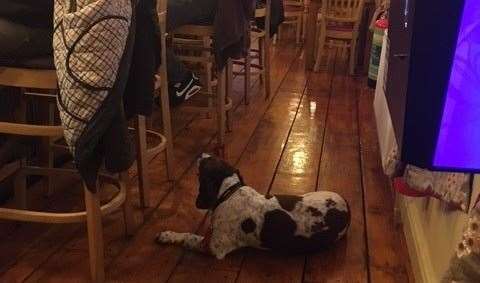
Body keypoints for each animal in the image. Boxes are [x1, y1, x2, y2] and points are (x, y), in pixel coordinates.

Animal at [156, 154, 350, 260]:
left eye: (207, 162)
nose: (200, 154)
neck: (230, 192)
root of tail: (347, 208)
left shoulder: (212, 247)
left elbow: (187, 236)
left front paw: (166, 235)